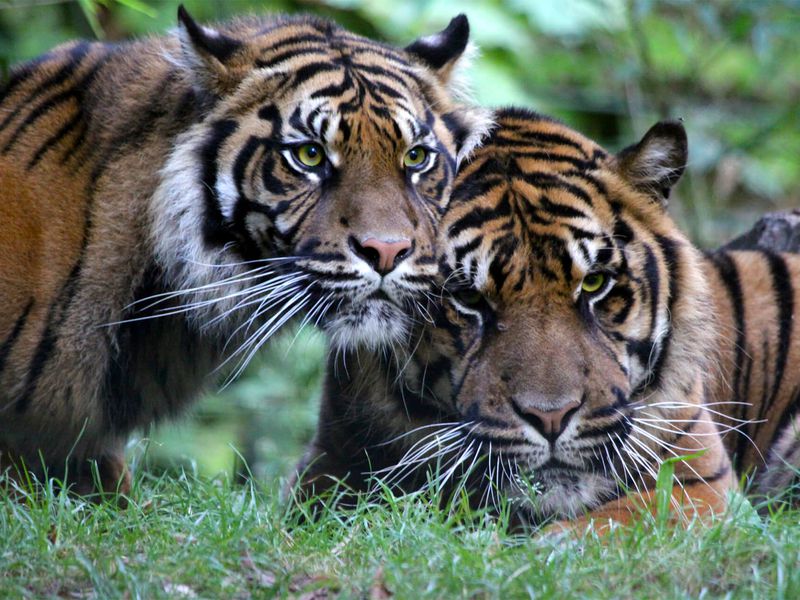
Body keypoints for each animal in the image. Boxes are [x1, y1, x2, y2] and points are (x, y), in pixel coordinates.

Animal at [296, 107, 800, 531]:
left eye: (594, 283)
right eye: (467, 296)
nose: (552, 418)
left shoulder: (699, 485)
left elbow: (617, 523)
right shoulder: (327, 468)